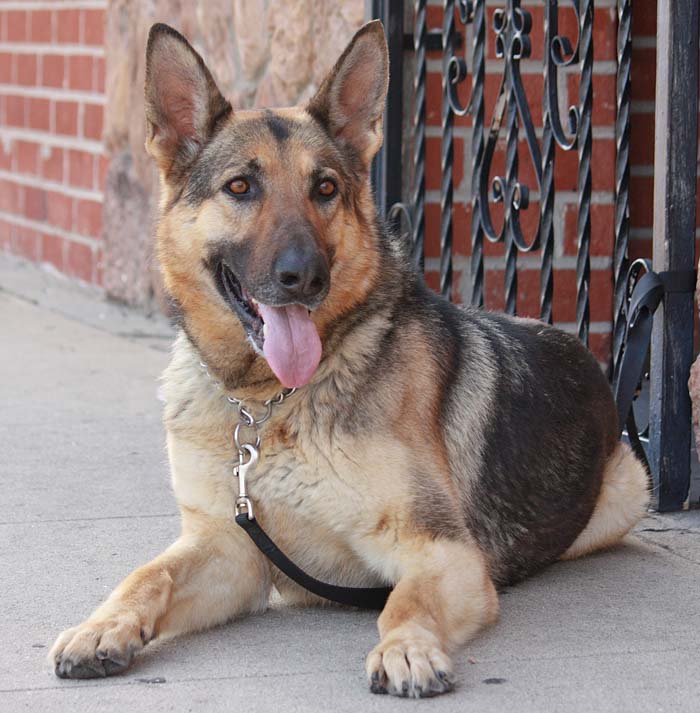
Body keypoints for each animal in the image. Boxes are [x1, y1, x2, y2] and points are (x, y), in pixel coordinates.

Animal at [49, 20, 649, 697]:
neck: (267, 404)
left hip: (628, 492)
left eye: (326, 189)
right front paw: (102, 626)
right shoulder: (231, 549)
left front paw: (407, 647)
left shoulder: (442, 552)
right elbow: (148, 574)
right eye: (240, 187)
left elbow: (404, 600)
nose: (304, 277)